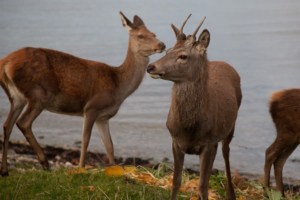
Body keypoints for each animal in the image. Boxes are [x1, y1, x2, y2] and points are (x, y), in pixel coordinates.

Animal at [0, 11, 165, 176]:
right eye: (141, 36)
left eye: (154, 33)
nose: (161, 44)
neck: (118, 85)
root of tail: (5, 64)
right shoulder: (91, 107)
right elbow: (85, 140)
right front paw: (81, 168)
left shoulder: (103, 117)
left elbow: (109, 145)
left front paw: (114, 169)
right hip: (38, 94)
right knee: (23, 122)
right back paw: (45, 163)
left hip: (16, 97)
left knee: (7, 124)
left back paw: (5, 170)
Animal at [146, 14, 243, 200]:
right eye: (167, 51)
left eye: (183, 56)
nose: (150, 66)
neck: (190, 128)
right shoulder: (176, 141)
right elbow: (176, 181)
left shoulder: (208, 143)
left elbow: (203, 185)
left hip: (230, 127)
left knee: (226, 152)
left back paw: (231, 193)